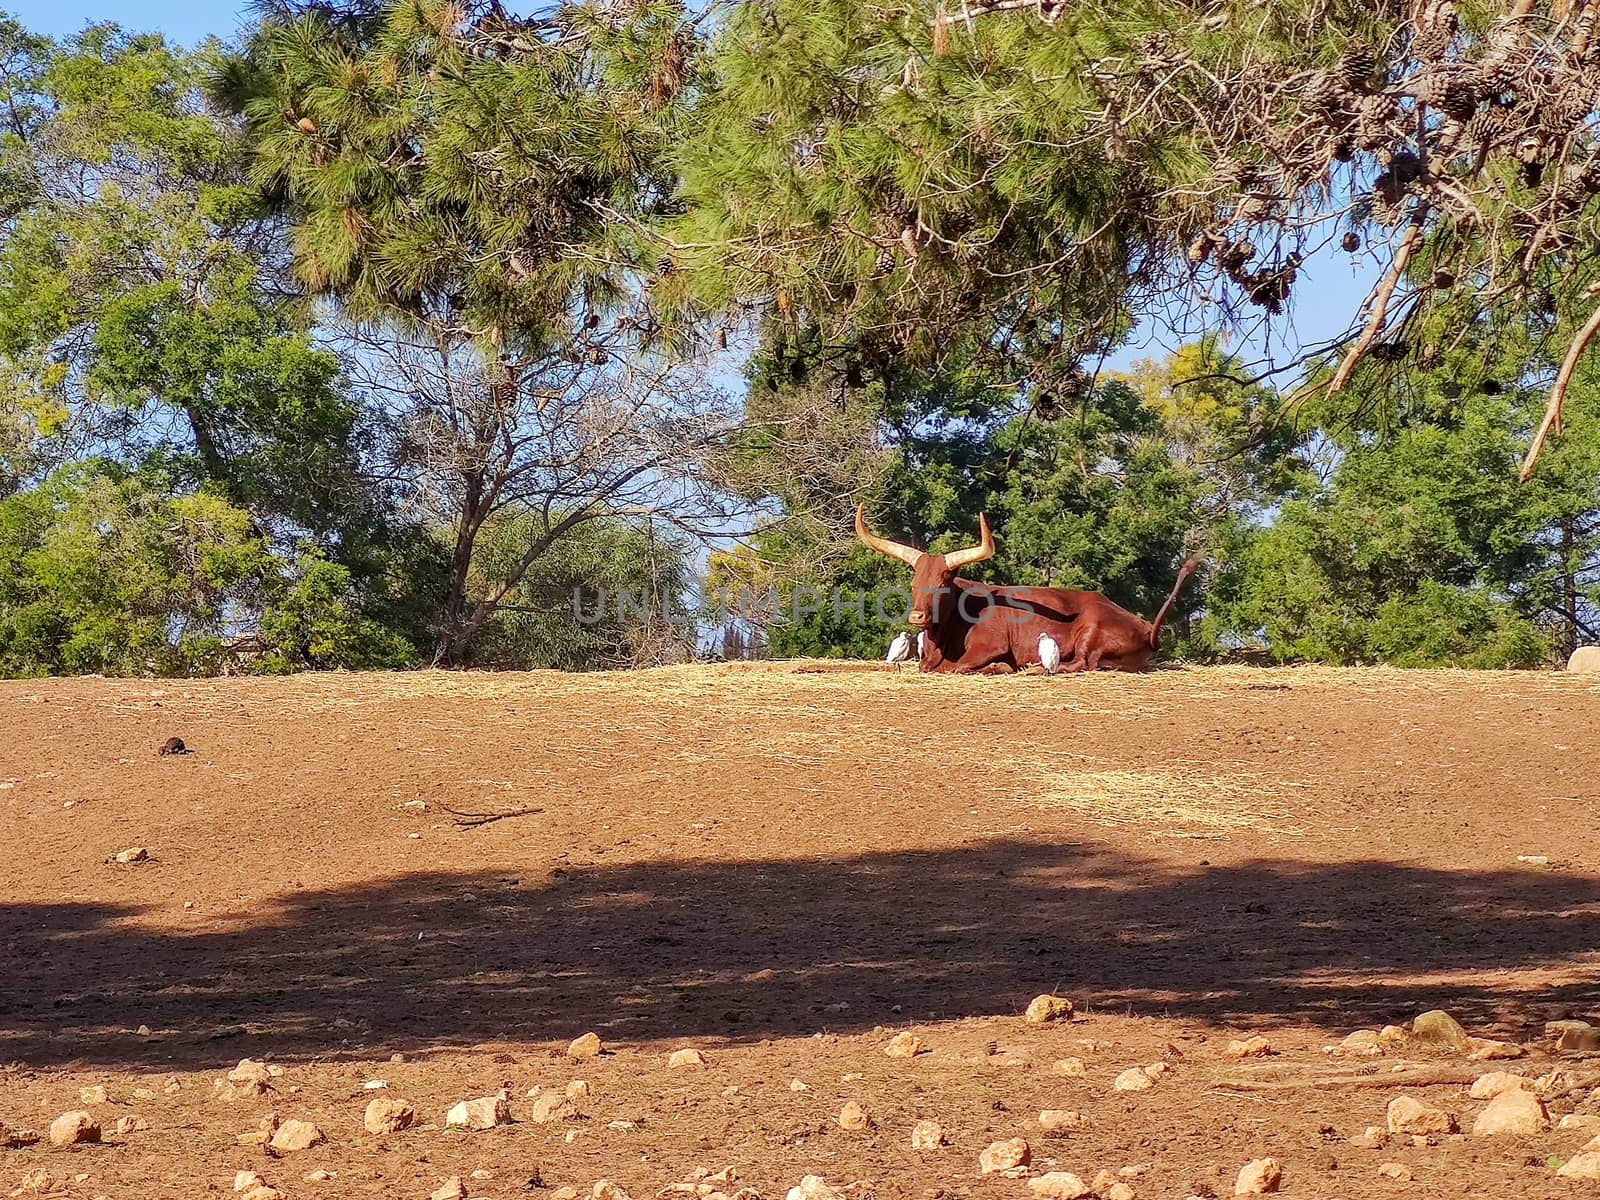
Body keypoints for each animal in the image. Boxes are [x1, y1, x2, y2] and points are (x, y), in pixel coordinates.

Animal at [857, 508, 1196, 678]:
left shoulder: (989, 645)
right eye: (914, 585)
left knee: (1083, 663)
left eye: (942, 584)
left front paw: (998, 667)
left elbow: (955, 667)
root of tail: (1147, 629)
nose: (917, 616)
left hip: (1091, 631)